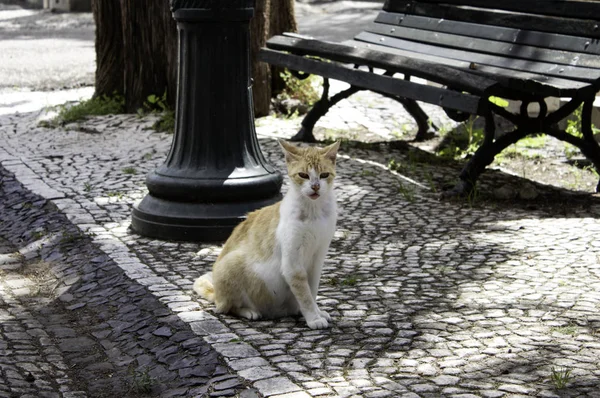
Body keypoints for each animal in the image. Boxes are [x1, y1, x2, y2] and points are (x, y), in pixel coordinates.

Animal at [195, 140, 340, 330]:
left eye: (324, 175)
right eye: (303, 175)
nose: (315, 187)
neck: (313, 212)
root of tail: (217, 295)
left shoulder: (318, 257)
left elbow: (312, 290)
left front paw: (317, 311)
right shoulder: (293, 264)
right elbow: (305, 294)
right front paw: (313, 318)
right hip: (231, 264)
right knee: (227, 307)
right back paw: (249, 311)